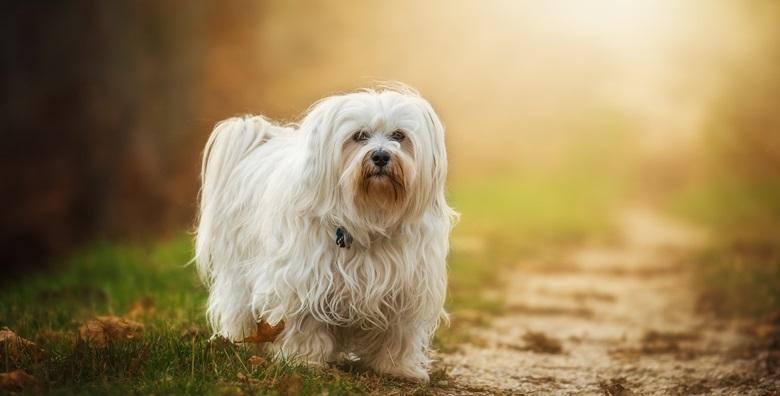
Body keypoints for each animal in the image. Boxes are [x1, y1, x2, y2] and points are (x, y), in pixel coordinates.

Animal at [194, 86, 458, 380]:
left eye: (399, 135)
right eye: (359, 136)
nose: (380, 156)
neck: (370, 214)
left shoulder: (405, 288)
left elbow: (398, 333)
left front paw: (397, 367)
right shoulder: (304, 280)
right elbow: (304, 324)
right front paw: (303, 360)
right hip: (239, 272)